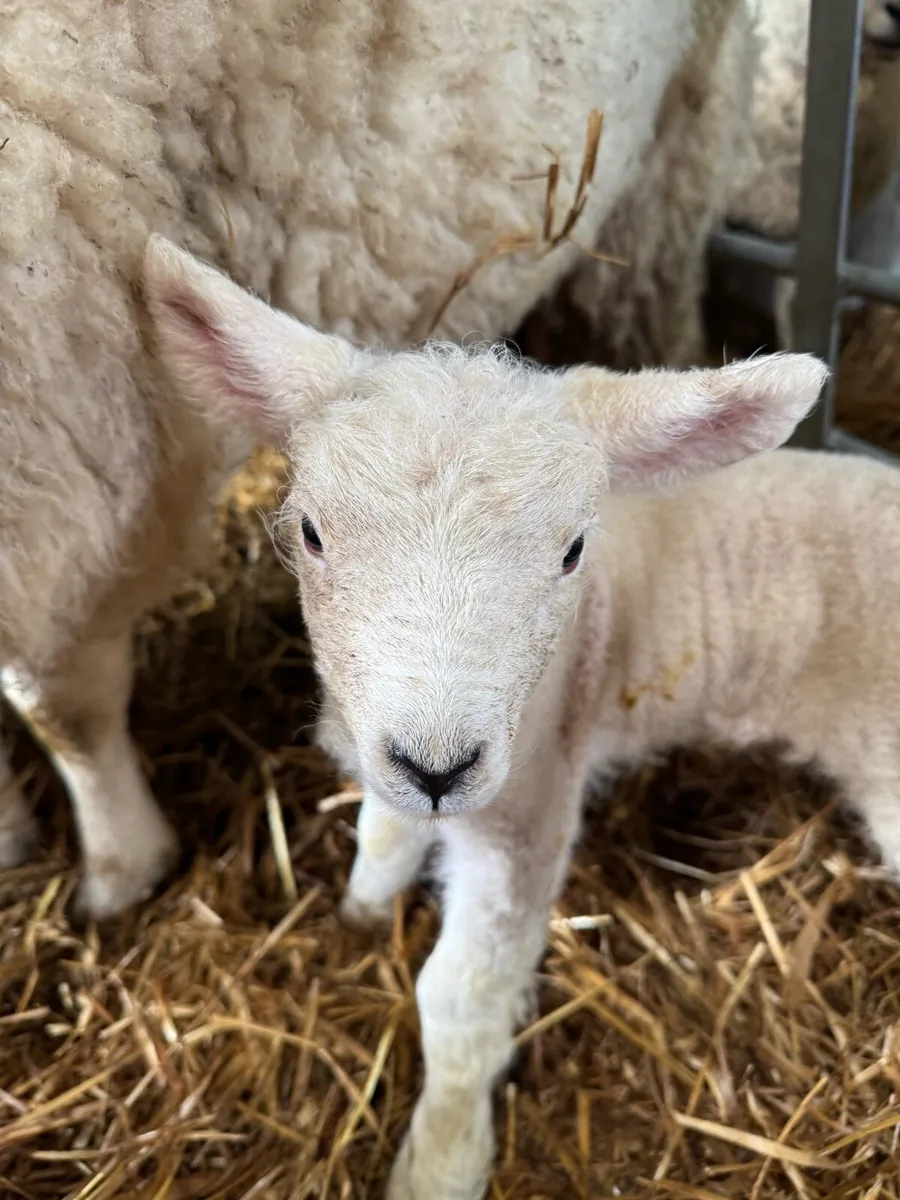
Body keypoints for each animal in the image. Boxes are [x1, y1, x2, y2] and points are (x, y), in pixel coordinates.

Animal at [1, 0, 752, 919]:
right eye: (311, 534)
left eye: (575, 551)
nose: (435, 768)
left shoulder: (82, 459)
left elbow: (64, 707)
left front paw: (120, 871)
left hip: (680, 135)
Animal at [144, 235, 836, 1200]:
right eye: (312, 533)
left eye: (573, 550)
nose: (437, 767)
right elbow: (381, 832)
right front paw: (363, 912)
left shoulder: (529, 806)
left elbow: (461, 997)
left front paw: (442, 1160)